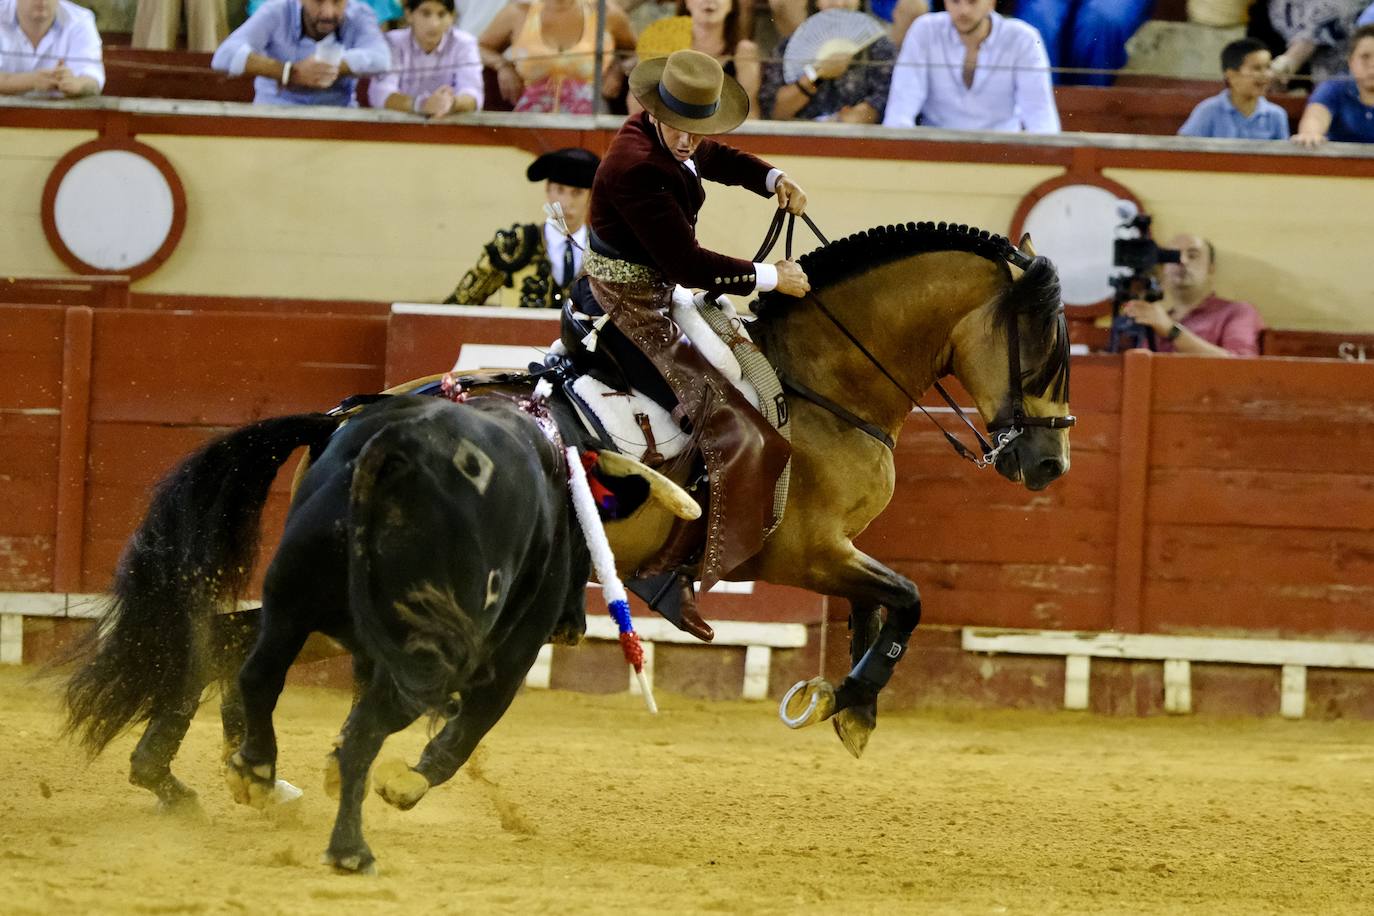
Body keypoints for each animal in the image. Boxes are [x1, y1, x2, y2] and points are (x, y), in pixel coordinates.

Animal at [64, 395, 590, 873]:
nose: (575, 626)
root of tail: (401, 443)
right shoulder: (510, 653)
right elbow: (465, 728)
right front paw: (404, 785)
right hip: (421, 648)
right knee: (365, 729)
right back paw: (348, 850)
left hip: (293, 599)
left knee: (250, 667)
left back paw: (243, 772)